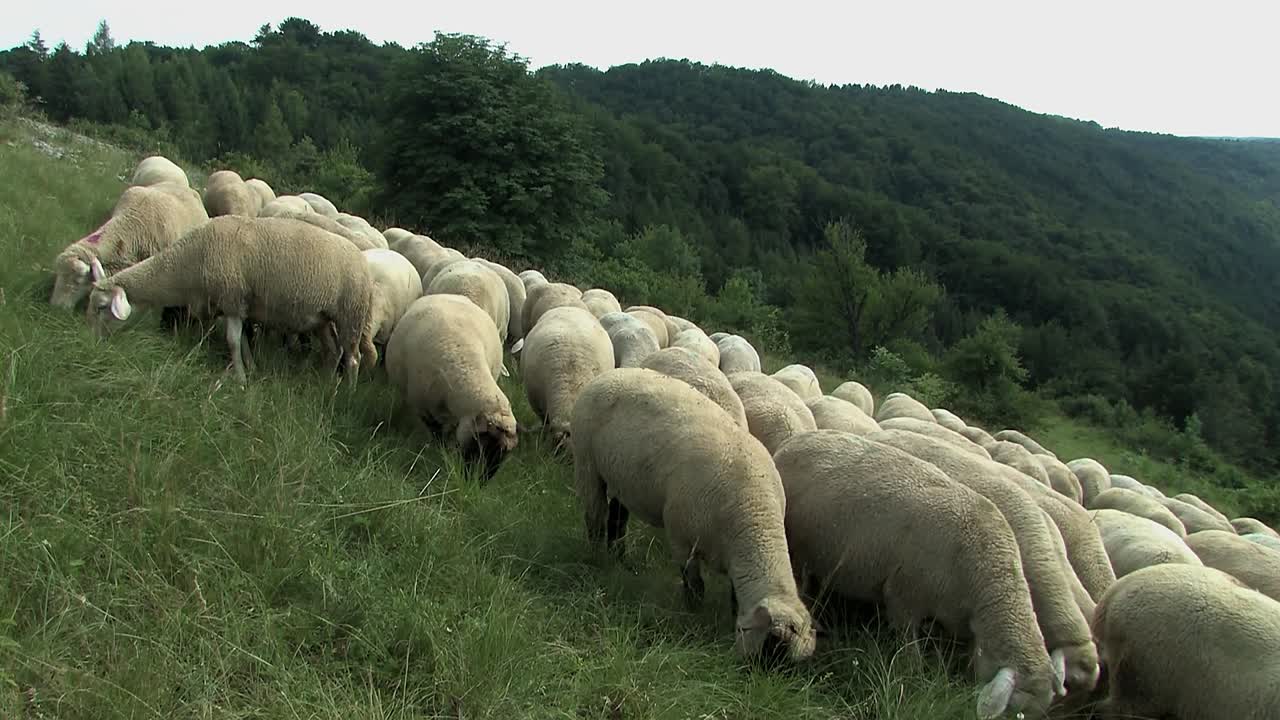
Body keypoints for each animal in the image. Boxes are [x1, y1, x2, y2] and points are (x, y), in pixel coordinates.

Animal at [86, 216, 378, 385]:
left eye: (101, 307)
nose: (91, 343)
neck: (189, 262)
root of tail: (364, 262)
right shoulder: (238, 305)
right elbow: (244, 341)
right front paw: (251, 367)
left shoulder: (233, 298)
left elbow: (233, 341)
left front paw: (240, 378)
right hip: (322, 319)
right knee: (333, 351)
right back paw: (326, 383)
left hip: (351, 314)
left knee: (353, 358)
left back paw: (347, 393)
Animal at [386, 294, 518, 478]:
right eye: (482, 444)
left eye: (503, 455)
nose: (479, 481)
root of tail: (449, 294)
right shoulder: (424, 408)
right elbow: (437, 434)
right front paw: (440, 452)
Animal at [570, 368, 817, 664]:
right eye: (772, 648)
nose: (752, 676)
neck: (753, 516)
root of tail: (611, 374)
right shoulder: (681, 537)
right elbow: (694, 584)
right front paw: (693, 614)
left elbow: (734, 597)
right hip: (587, 461)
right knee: (595, 515)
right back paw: (598, 556)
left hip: (623, 476)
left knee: (617, 518)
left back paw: (620, 558)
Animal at [774, 430, 1057, 718]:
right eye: (1015, 711)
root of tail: (795, 440)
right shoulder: (903, 595)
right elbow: (910, 651)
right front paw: (913, 677)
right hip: (797, 545)